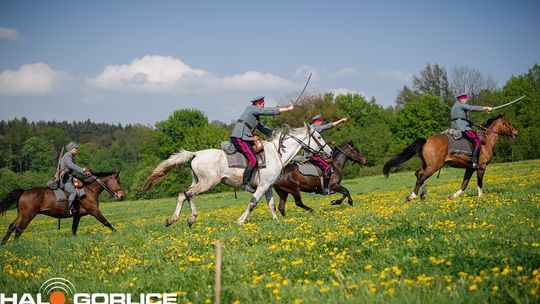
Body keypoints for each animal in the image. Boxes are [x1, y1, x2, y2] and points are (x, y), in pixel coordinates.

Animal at [142, 123, 334, 226]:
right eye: (318, 137)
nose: (330, 153)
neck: (277, 153)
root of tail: (195, 154)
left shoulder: (268, 187)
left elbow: (271, 205)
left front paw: (275, 220)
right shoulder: (261, 187)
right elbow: (252, 204)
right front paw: (241, 221)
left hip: (197, 182)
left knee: (185, 195)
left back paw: (184, 219)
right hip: (207, 183)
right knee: (185, 194)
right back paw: (181, 218)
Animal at [384, 114, 520, 202]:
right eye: (508, 123)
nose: (516, 133)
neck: (485, 142)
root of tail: (426, 140)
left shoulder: (470, 168)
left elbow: (464, 184)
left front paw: (453, 196)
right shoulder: (481, 167)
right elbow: (479, 183)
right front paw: (481, 197)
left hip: (427, 165)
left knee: (418, 174)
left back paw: (423, 194)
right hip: (434, 167)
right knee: (420, 178)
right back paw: (413, 196)